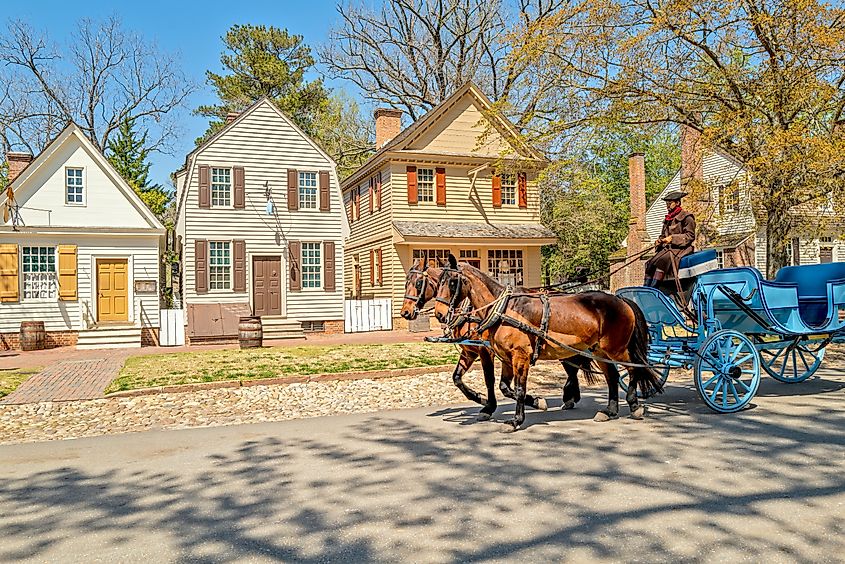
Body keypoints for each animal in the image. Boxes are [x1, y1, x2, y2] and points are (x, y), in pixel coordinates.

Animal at [400, 256, 588, 418]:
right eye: (405, 283)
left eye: (418, 283)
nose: (405, 312)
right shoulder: (469, 351)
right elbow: (457, 378)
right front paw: (481, 398)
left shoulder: (486, 350)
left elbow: (489, 379)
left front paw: (490, 406)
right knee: (573, 367)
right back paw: (571, 397)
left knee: (573, 367)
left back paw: (569, 397)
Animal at [432, 256, 664, 432]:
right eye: (438, 282)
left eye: (452, 282)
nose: (440, 314)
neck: (504, 309)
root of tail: (621, 300)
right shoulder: (506, 357)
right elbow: (504, 387)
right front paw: (536, 402)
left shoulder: (520, 356)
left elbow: (518, 389)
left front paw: (516, 420)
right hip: (599, 351)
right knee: (612, 376)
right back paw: (609, 410)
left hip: (616, 348)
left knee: (633, 370)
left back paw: (634, 405)